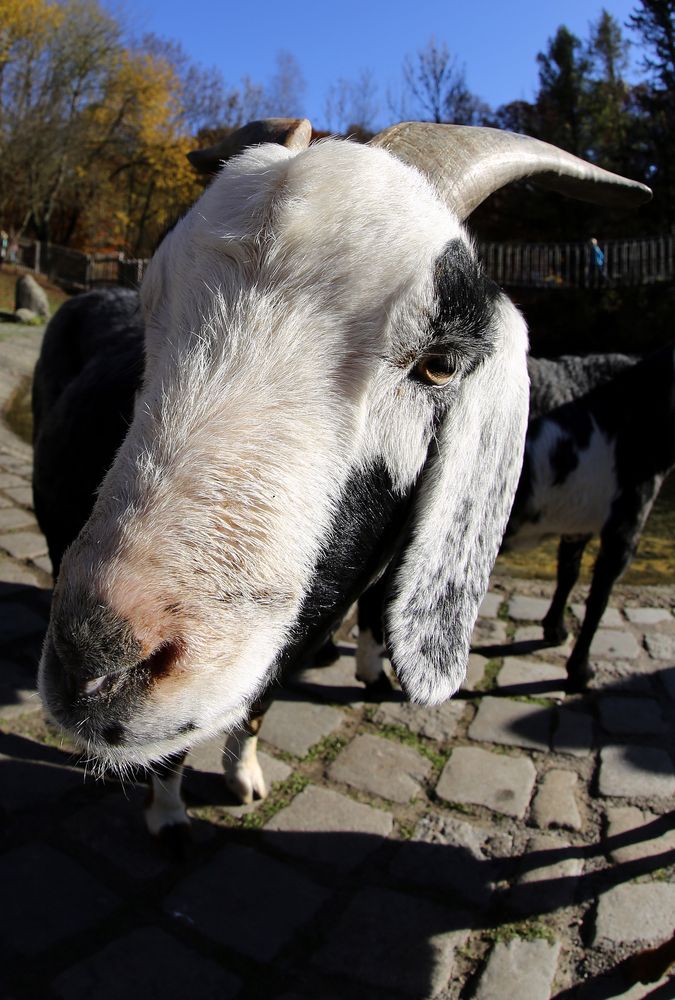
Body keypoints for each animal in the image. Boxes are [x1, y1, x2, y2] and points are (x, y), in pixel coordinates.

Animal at [33, 117, 648, 836]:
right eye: (155, 305)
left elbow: (258, 705)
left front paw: (243, 777)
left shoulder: (307, 625)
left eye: (440, 365)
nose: (96, 663)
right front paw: (168, 814)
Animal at [504, 346, 672, 688]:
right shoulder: (624, 526)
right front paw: (580, 671)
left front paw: (554, 631)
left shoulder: (577, 524)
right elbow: (599, 601)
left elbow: (568, 574)